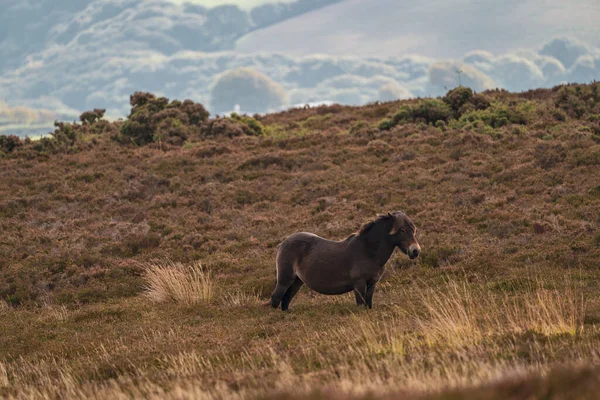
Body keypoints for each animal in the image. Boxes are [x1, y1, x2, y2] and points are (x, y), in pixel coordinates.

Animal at [270, 211, 420, 310]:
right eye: (402, 230)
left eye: (413, 229)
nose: (415, 250)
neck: (368, 250)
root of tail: (284, 242)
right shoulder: (359, 284)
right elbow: (360, 305)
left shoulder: (371, 285)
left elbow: (368, 304)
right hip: (285, 280)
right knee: (276, 299)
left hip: (297, 282)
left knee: (285, 300)